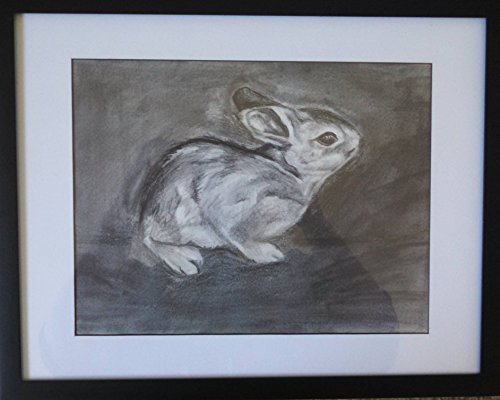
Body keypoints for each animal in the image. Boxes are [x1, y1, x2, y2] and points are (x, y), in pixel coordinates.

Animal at [132, 87, 361, 275]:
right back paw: (184, 260)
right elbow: (239, 238)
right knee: (150, 240)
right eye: (328, 138)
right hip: (178, 219)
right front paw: (267, 254)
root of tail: (146, 215)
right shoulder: (237, 208)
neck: (290, 172)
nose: (358, 139)